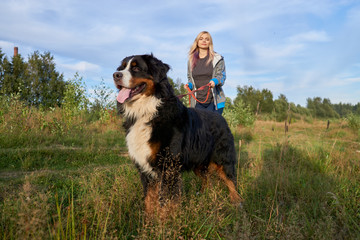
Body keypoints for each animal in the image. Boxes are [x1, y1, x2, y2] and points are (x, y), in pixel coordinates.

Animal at [114, 54, 240, 218]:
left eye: (136, 68)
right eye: (122, 67)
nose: (115, 75)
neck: (148, 110)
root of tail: (222, 118)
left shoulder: (168, 166)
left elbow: (166, 200)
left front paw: (165, 221)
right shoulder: (146, 168)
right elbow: (149, 199)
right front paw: (148, 221)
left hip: (223, 159)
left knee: (231, 182)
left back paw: (237, 204)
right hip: (199, 163)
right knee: (208, 181)